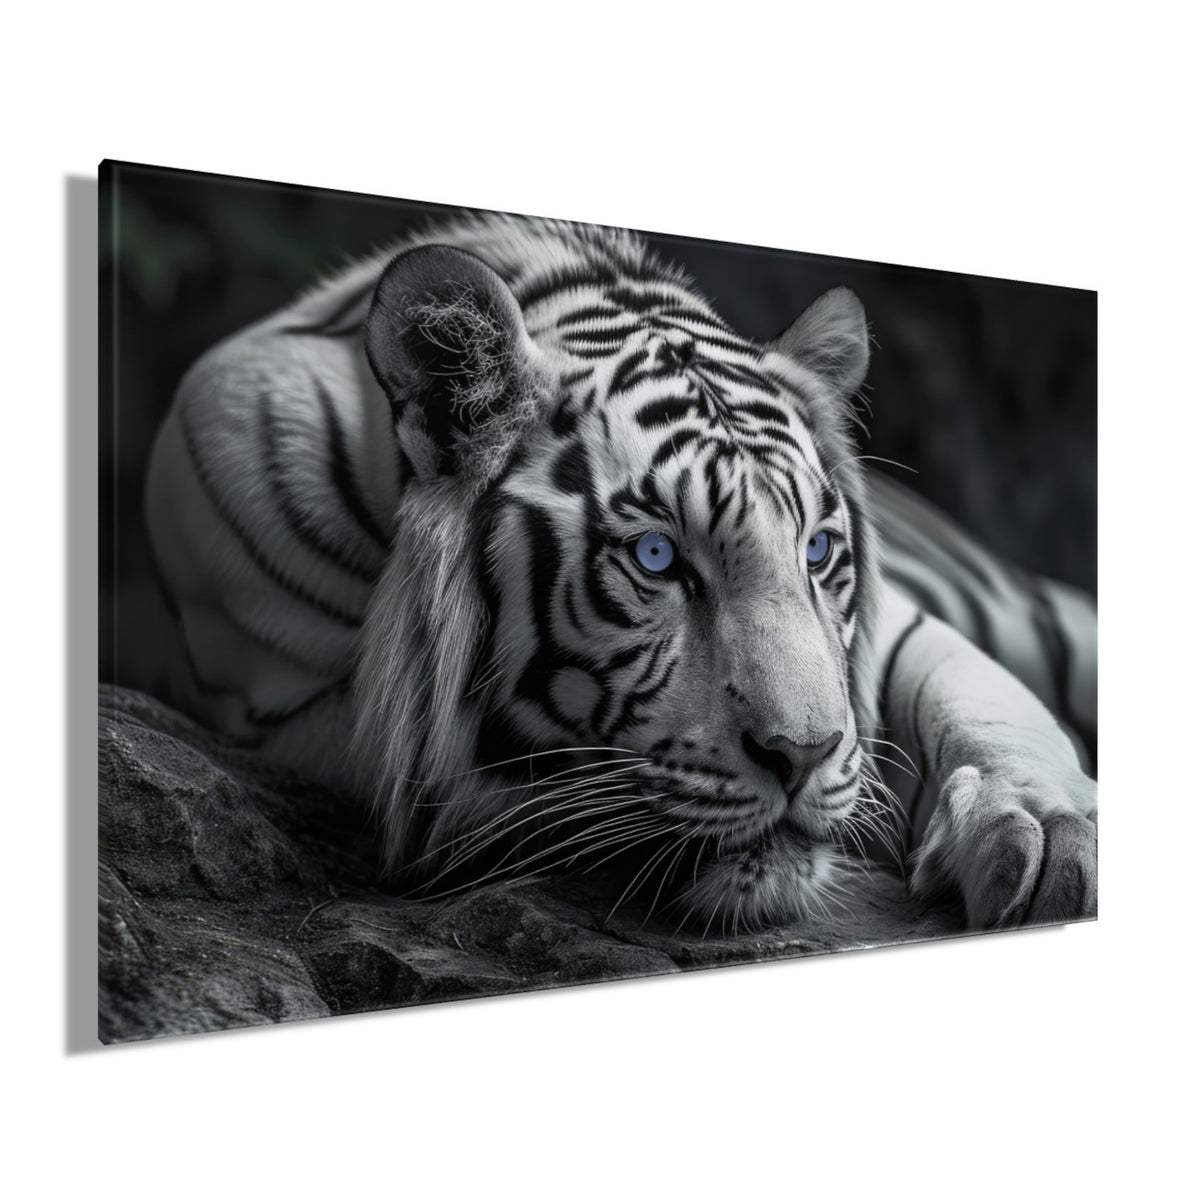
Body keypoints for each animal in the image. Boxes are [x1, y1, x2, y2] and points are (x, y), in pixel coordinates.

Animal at [144, 211, 1097, 934]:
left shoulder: (900, 628)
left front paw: (1049, 833)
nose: (800, 756)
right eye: (656, 557)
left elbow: (985, 703)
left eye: (817, 552)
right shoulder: (279, 707)